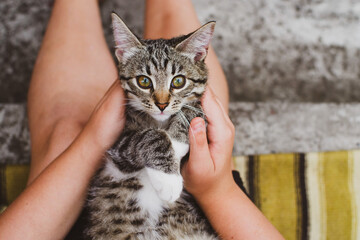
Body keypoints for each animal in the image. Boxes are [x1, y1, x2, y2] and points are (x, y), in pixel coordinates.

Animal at [84, 13, 218, 240]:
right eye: (144, 81)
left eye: (178, 81)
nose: (162, 104)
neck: (160, 120)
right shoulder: (116, 148)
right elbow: (151, 136)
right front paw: (169, 180)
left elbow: (194, 110)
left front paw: (176, 141)